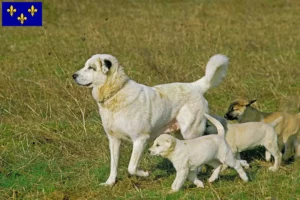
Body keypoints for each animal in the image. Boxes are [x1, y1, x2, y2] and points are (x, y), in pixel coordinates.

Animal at [71, 53, 229, 186]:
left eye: (91, 68)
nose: (73, 75)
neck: (116, 92)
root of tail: (195, 86)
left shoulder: (140, 139)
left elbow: (131, 167)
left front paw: (145, 174)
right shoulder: (114, 139)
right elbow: (113, 164)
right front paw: (109, 183)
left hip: (190, 131)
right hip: (181, 134)